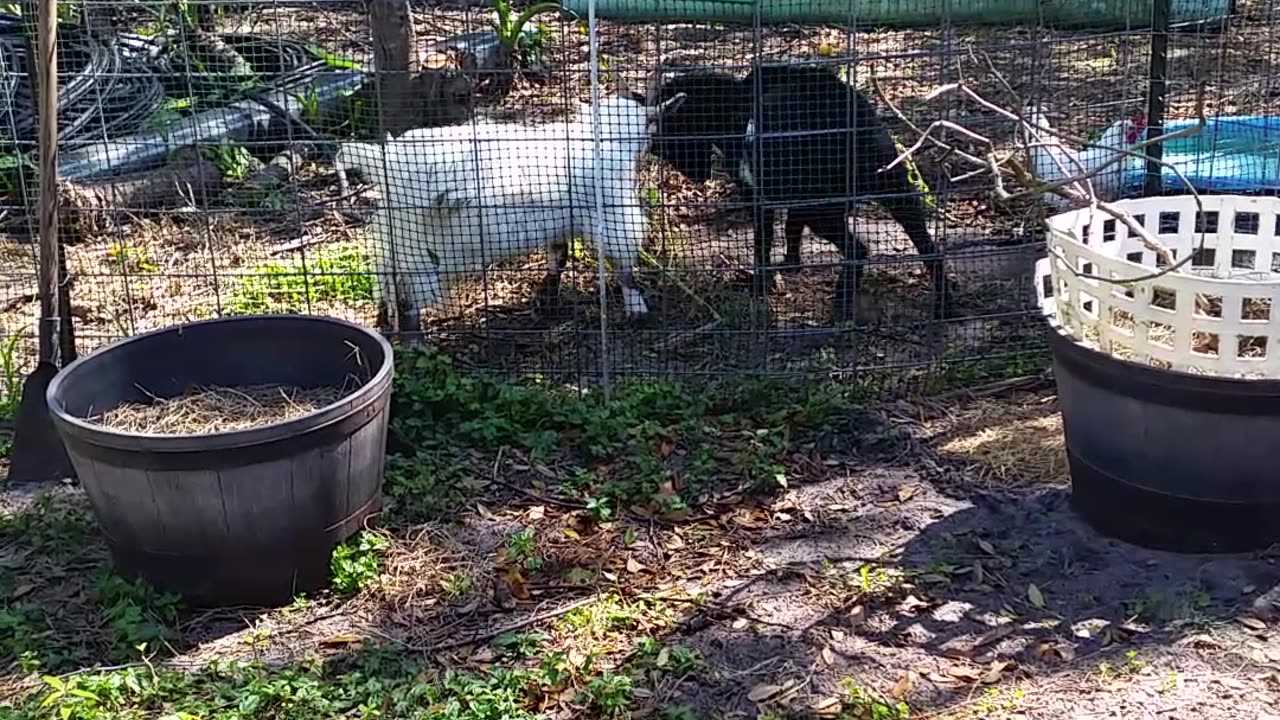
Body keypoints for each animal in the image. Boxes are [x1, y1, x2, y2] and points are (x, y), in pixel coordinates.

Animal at [335, 87, 687, 343]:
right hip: (419, 247)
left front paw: (547, 299)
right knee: (408, 293)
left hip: (393, 238)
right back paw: (414, 343)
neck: (606, 141)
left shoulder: (559, 220)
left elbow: (558, 256)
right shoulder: (611, 216)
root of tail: (387, 163)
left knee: (385, 279)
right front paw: (637, 309)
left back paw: (384, 322)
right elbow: (623, 264)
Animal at [635, 64, 947, 321]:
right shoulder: (791, 195)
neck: (732, 108)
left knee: (858, 249)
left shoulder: (758, 195)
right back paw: (945, 306)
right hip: (895, 188)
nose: (694, 176)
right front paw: (790, 264)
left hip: (825, 209)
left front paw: (761, 285)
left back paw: (841, 305)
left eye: (664, 145)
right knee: (930, 248)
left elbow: (763, 240)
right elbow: (791, 228)